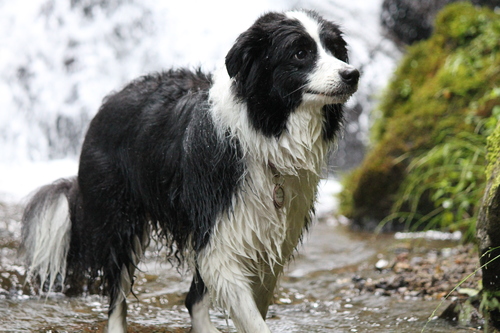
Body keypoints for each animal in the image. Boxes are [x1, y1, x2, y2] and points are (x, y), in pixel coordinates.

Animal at [20, 9, 360, 330]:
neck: (263, 131)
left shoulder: (267, 239)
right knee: (118, 297)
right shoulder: (224, 235)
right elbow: (252, 318)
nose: (353, 74)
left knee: (192, 298)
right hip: (121, 220)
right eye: (300, 53)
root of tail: (109, 101)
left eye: (335, 50)